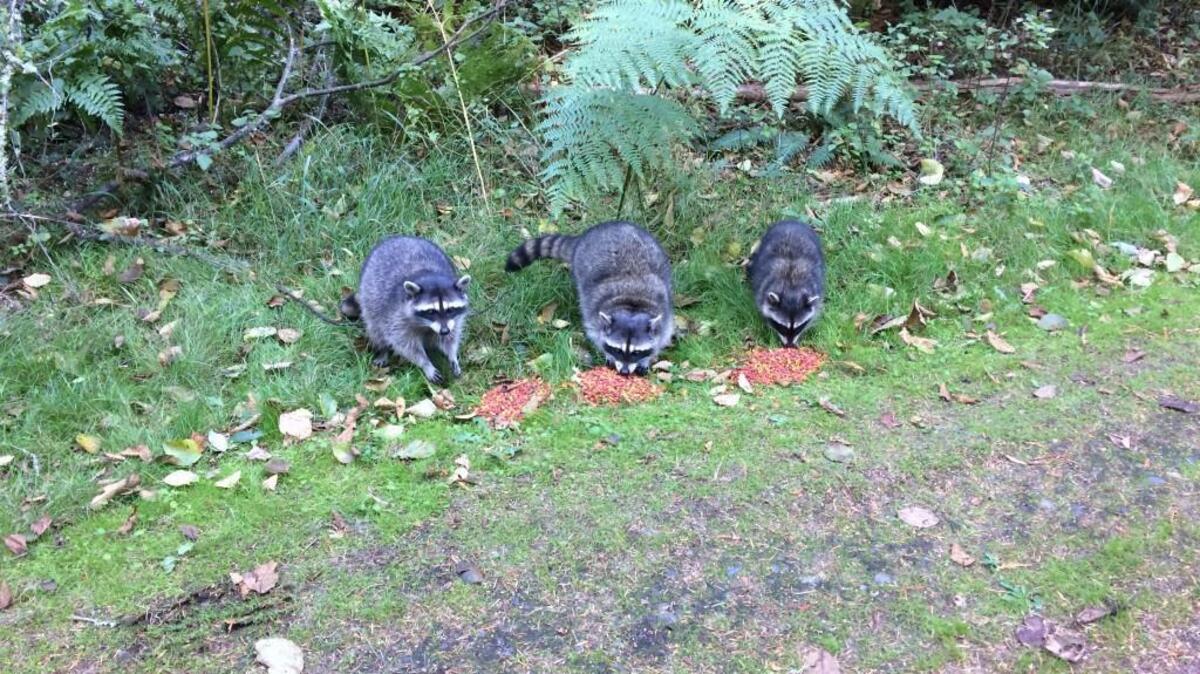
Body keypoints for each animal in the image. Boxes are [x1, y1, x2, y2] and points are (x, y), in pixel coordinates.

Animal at [348, 236, 470, 383]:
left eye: (450, 310)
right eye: (431, 311)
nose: (444, 331)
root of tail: (399, 237)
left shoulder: (454, 320)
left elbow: (451, 337)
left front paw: (452, 355)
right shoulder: (396, 315)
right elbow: (405, 343)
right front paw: (426, 364)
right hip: (370, 299)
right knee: (376, 329)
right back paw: (383, 350)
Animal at [506, 221, 673, 376]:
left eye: (636, 352)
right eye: (617, 350)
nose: (624, 372)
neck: (632, 305)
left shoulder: (664, 314)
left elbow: (661, 338)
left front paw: (646, 359)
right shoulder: (593, 311)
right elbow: (596, 335)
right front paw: (608, 355)